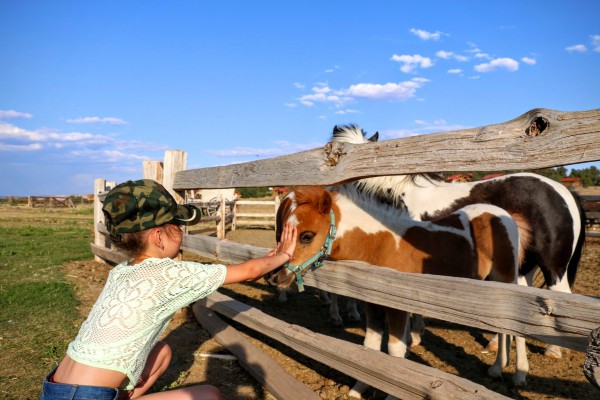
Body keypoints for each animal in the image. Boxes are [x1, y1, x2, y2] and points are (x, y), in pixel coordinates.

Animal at [272, 184, 528, 396]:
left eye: (307, 236)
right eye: (282, 232)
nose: (277, 276)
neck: (381, 245)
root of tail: (504, 214)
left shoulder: (397, 307)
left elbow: (395, 352)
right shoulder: (372, 303)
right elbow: (370, 347)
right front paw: (359, 389)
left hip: (506, 279)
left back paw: (518, 374)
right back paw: (497, 367)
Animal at [328, 123, 584, 358]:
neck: (397, 196)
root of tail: (565, 192)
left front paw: (411, 336)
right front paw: (416, 334)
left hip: (553, 268)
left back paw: (552, 350)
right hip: (522, 266)